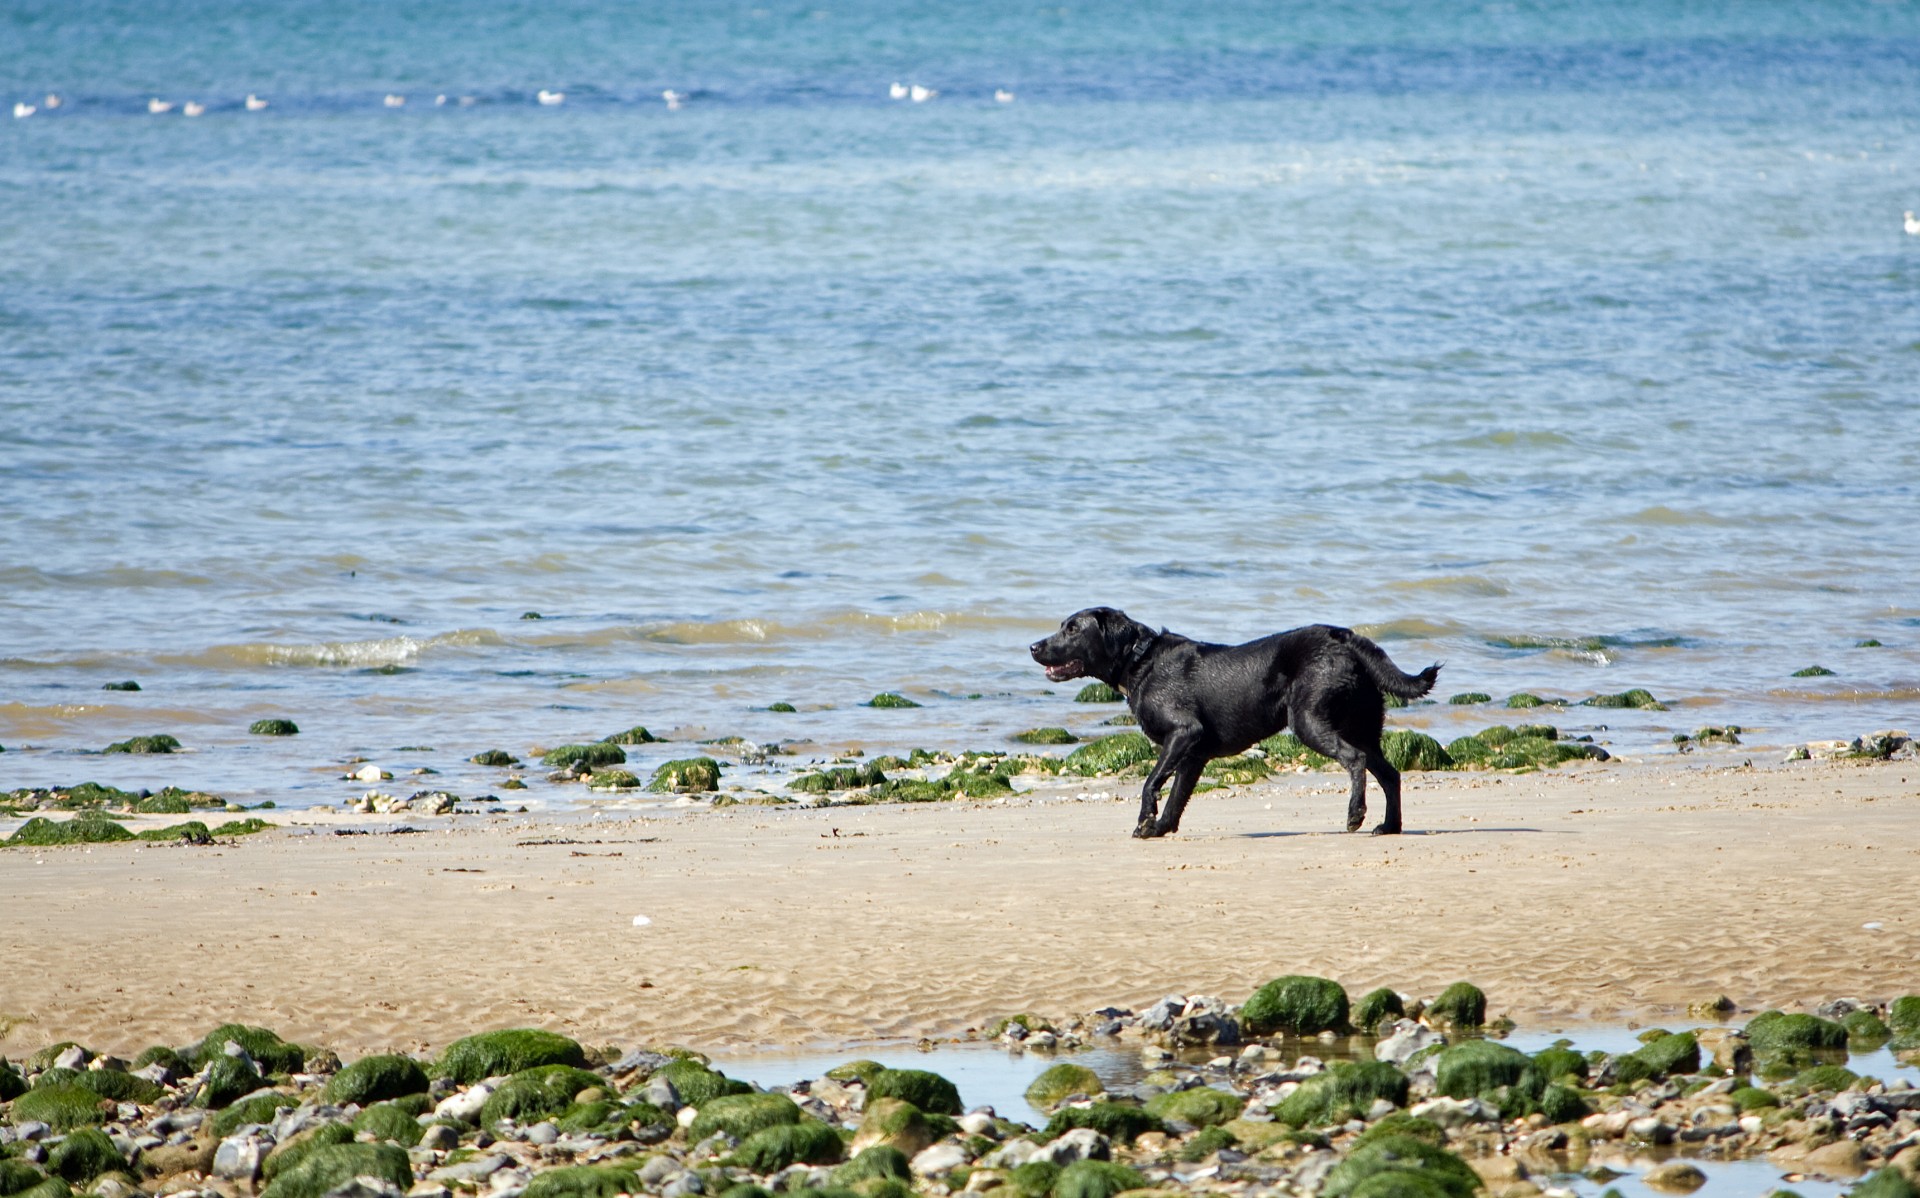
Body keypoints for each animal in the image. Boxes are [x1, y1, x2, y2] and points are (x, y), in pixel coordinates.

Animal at [1029, 602, 1436, 837]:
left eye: (1072, 629)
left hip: (1310, 720)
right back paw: (1389, 827)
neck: (1140, 660)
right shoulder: (1192, 754)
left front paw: (1145, 821)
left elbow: (1150, 783)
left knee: (1356, 760)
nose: (1033, 646)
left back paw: (1355, 815)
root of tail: (1346, 639)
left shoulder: (1183, 733)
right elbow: (1177, 795)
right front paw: (1160, 828)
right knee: (1390, 774)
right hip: (1362, 724)